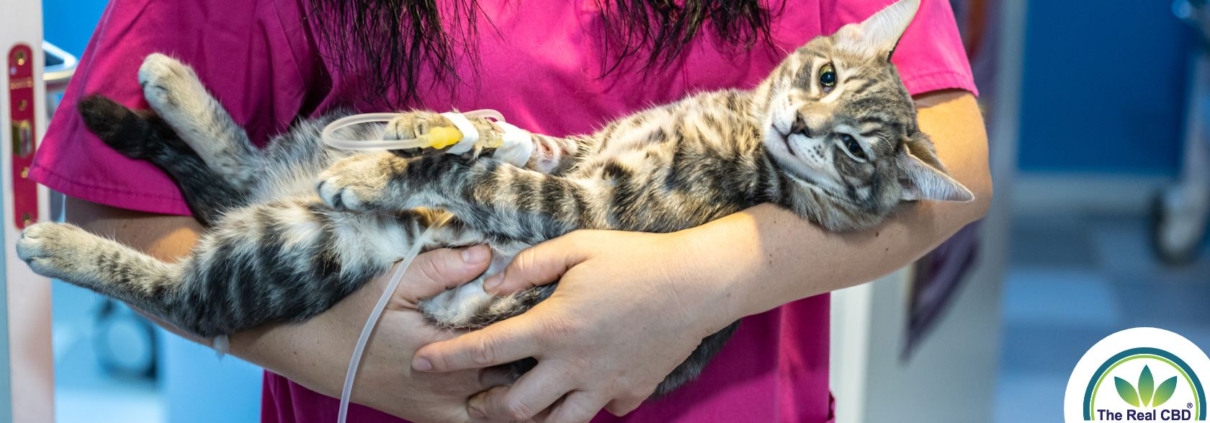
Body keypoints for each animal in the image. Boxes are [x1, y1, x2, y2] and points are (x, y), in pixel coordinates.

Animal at [16, 0, 963, 396]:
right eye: (826, 74)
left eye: (853, 147)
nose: (802, 123)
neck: (736, 128)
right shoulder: (579, 152)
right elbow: (511, 141)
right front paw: (443, 127)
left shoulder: (591, 207)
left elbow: (485, 178)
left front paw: (382, 171)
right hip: (296, 166)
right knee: (244, 165)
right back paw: (166, 79)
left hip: (303, 247)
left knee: (189, 293)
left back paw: (51, 244)